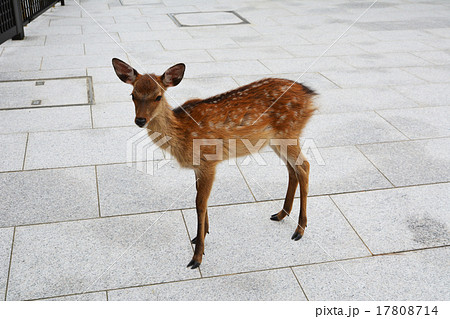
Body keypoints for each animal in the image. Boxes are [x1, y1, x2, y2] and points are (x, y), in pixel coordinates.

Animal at [111, 58, 316, 270]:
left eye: (158, 96)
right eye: (133, 95)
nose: (140, 120)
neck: (183, 132)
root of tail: (310, 95)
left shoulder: (209, 161)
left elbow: (200, 203)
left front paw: (197, 256)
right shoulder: (198, 166)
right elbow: (200, 197)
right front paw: (200, 236)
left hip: (288, 132)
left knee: (304, 166)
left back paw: (299, 229)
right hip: (277, 140)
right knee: (292, 169)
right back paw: (281, 214)